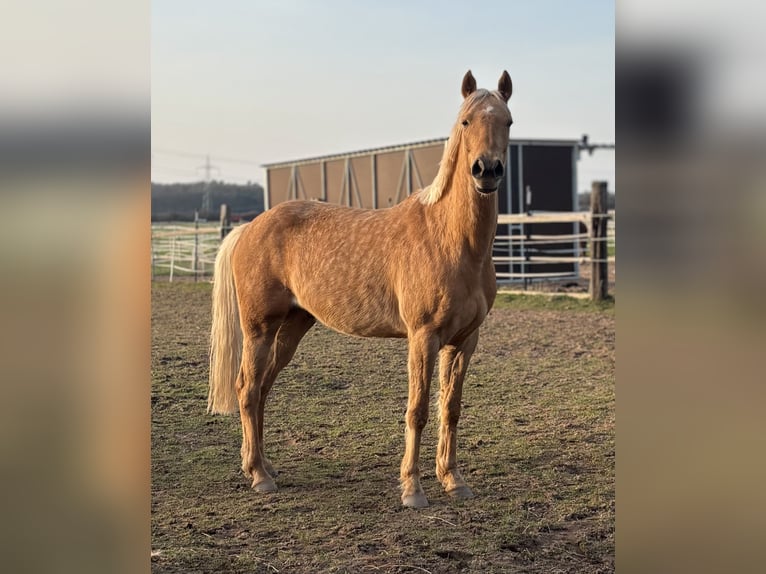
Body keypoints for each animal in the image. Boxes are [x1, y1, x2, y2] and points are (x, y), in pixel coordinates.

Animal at [208, 70, 513, 508]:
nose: (486, 170)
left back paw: (265, 466)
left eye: (508, 121)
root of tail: (249, 227)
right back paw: (259, 476)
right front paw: (412, 489)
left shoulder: (465, 341)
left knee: (262, 389)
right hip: (259, 329)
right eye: (466, 121)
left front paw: (453, 480)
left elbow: (451, 409)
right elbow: (418, 410)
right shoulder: (423, 338)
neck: (451, 240)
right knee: (247, 390)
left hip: (293, 327)